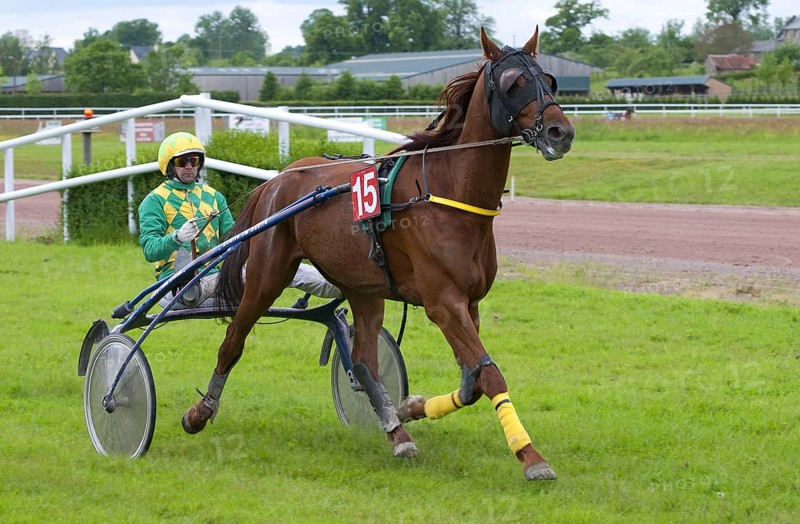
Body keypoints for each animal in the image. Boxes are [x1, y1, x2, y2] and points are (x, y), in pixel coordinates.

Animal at [181, 26, 575, 481]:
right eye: (514, 83)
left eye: (549, 81)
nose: (561, 133)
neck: (449, 192)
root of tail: (278, 179)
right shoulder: (444, 303)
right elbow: (490, 375)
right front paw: (531, 457)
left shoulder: (469, 302)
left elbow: (472, 381)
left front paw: (411, 407)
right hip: (266, 276)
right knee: (233, 341)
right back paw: (199, 412)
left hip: (364, 289)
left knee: (364, 360)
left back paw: (396, 431)